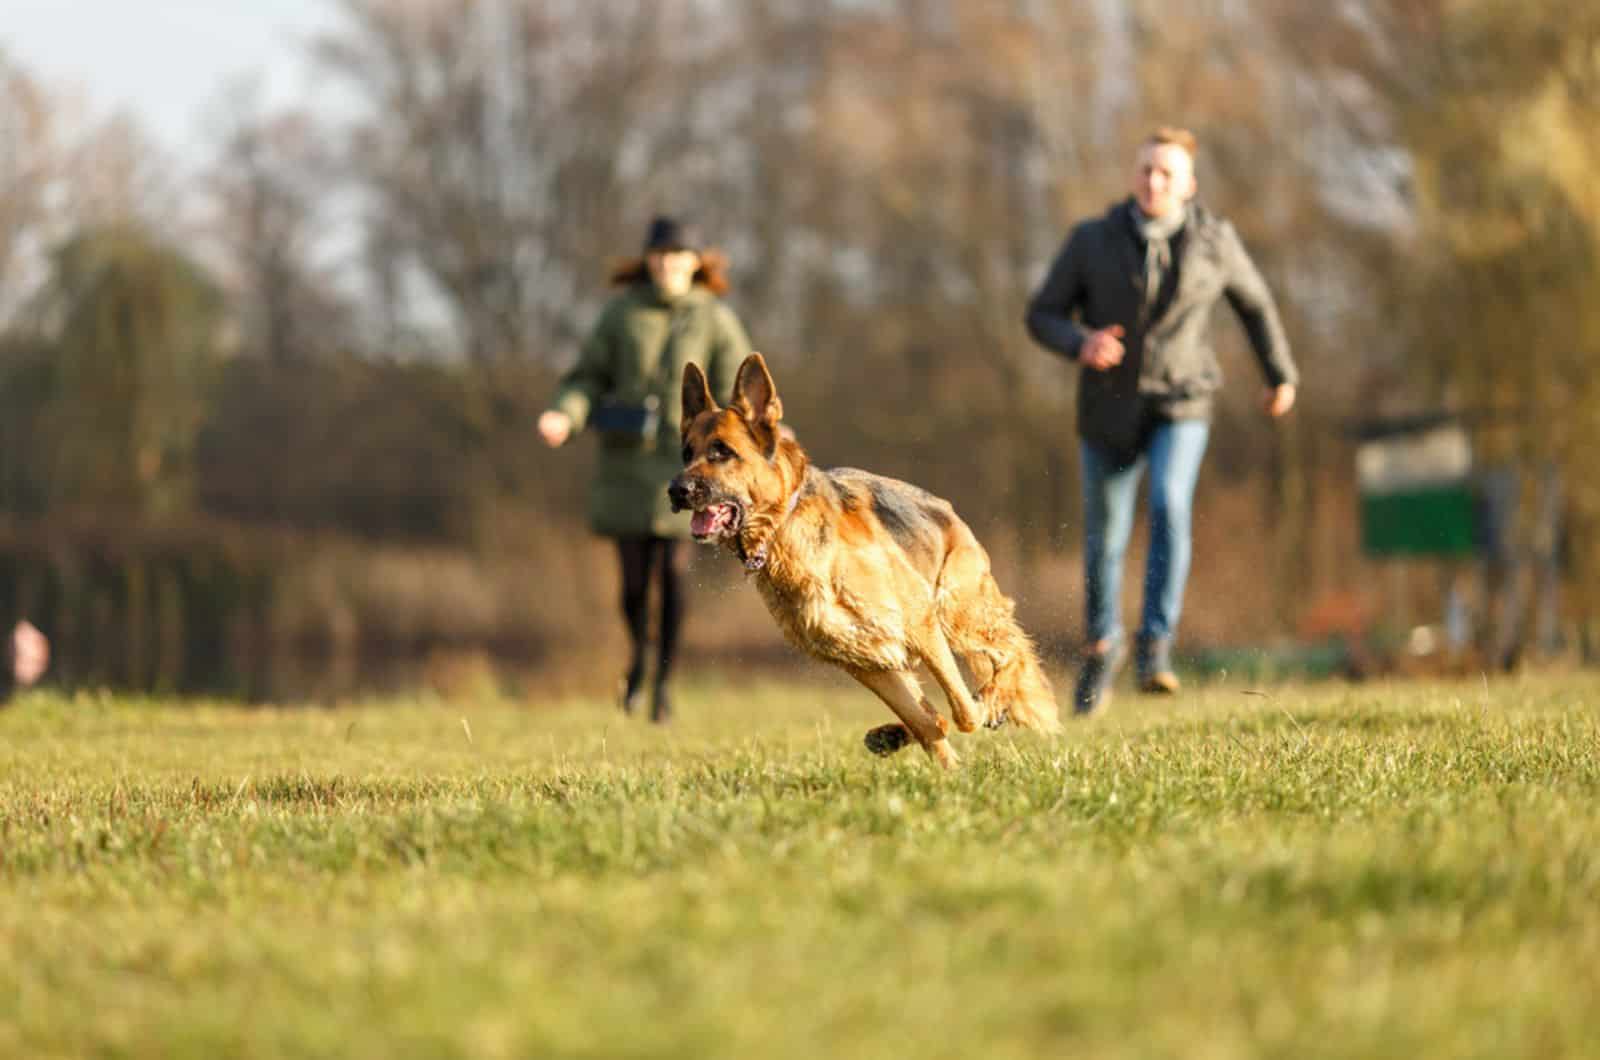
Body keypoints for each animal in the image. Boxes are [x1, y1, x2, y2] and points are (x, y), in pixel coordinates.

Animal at [665, 352, 1056, 768]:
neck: (784, 527)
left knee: (1009, 656)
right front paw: (942, 763)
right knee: (938, 709)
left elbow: (963, 710)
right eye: (686, 453)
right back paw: (898, 734)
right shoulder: (860, 659)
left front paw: (984, 711)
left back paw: (994, 699)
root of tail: (946, 510)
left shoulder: (919, 622)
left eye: (722, 451)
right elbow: (928, 722)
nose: (675, 490)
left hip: (956, 612)